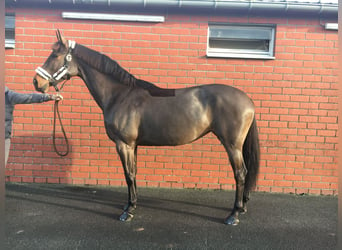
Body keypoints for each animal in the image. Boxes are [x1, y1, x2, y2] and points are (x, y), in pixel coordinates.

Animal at [33, 30, 260, 226]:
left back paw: (233, 214)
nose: (37, 82)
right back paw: (242, 208)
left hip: (232, 145)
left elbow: (128, 175)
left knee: (240, 173)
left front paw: (127, 211)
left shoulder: (123, 144)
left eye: (55, 55)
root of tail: (248, 100)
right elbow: (134, 173)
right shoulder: (133, 145)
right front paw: (132, 204)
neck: (120, 95)